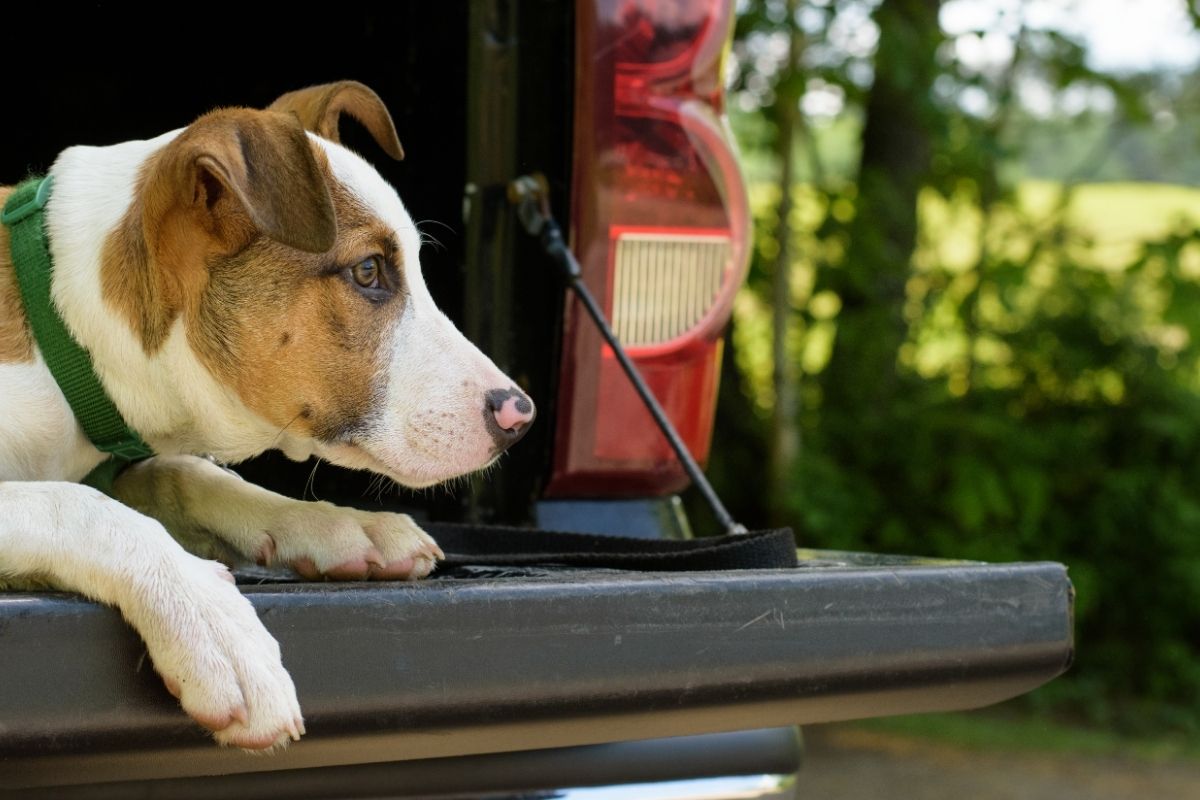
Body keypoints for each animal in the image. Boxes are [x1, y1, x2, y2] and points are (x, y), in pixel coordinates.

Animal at [0, 82, 535, 753]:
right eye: (368, 271)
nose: (521, 415)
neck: (64, 327)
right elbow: (80, 504)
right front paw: (211, 622)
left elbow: (187, 473)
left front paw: (339, 525)